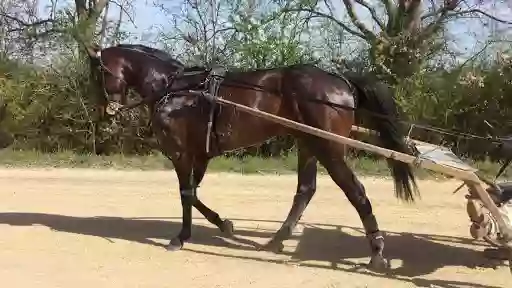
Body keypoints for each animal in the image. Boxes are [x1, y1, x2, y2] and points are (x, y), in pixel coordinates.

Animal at [86, 43, 418, 270]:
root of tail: (341, 82)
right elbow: (193, 193)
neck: (176, 90)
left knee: (355, 192)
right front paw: (216, 225)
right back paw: (278, 239)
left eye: (98, 73)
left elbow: (186, 193)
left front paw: (187, 235)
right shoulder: (200, 155)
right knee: (305, 190)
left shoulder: (180, 153)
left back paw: (377, 252)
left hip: (329, 147)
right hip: (308, 144)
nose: (103, 110)